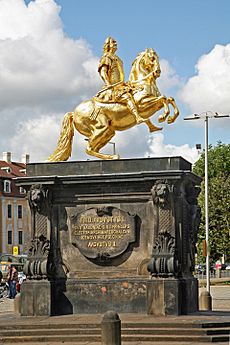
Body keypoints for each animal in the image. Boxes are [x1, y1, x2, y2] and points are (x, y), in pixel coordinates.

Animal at [47, 48, 179, 160]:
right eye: (152, 58)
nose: (157, 72)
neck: (141, 83)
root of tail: (73, 113)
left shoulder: (153, 104)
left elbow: (169, 99)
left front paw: (171, 118)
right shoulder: (143, 104)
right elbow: (162, 98)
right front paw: (163, 116)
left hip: (109, 132)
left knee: (94, 148)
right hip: (101, 127)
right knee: (88, 148)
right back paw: (113, 156)